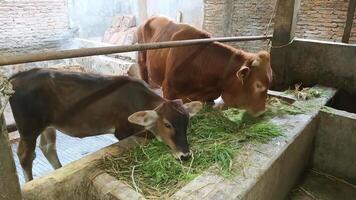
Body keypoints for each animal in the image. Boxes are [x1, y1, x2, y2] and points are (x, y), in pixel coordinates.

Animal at [9, 68, 203, 181]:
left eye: (187, 122)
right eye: (167, 124)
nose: (185, 155)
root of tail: (18, 76)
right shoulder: (122, 130)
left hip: (47, 125)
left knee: (47, 147)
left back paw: (59, 170)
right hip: (28, 128)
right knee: (25, 156)